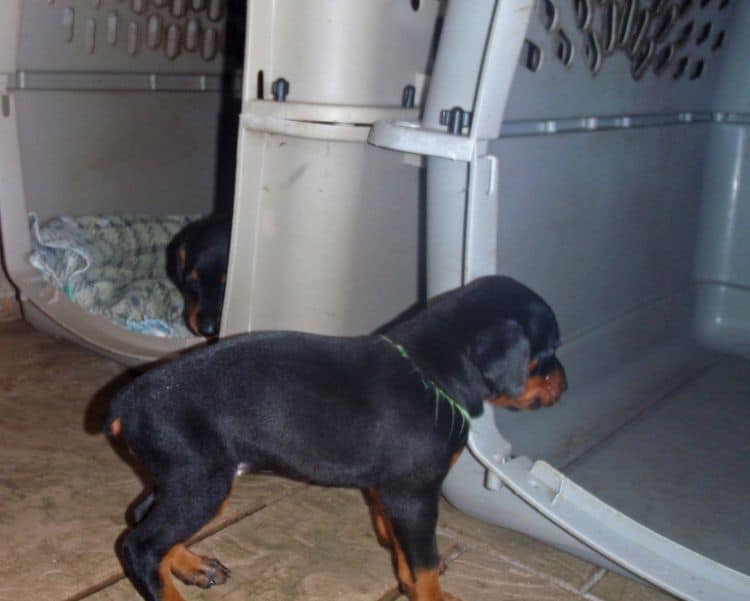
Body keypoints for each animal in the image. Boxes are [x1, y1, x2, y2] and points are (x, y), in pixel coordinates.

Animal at [104, 276, 564, 600]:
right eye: (548, 352)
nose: (566, 382)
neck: (433, 373)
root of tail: (126, 400)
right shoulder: (414, 494)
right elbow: (426, 566)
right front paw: (433, 594)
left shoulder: (393, 492)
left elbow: (404, 553)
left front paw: (404, 579)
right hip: (202, 480)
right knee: (141, 546)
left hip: (187, 475)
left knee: (142, 514)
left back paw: (191, 566)